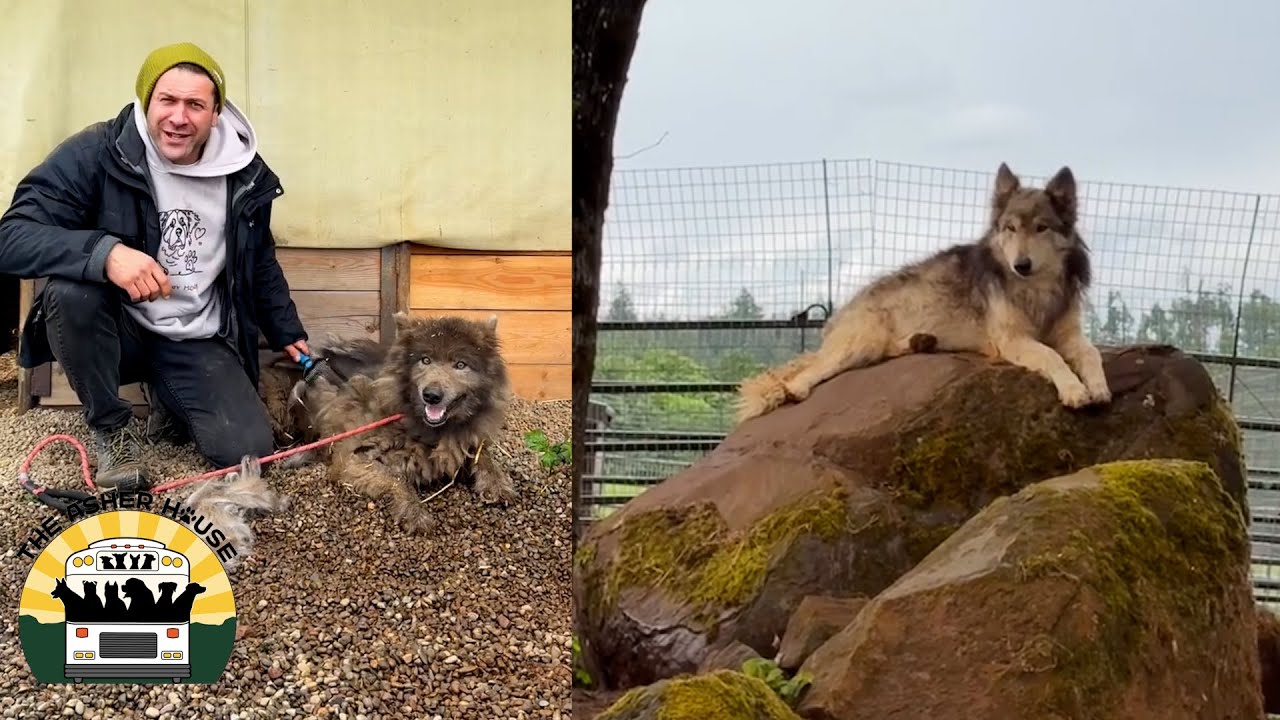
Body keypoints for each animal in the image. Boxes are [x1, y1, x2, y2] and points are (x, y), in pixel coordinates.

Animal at [258, 312, 516, 534]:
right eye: (425, 360)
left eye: (460, 365)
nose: (431, 395)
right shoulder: (351, 458)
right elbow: (396, 478)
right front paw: (414, 511)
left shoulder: (465, 441)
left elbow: (484, 457)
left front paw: (497, 483)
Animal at [736, 162, 1111, 424]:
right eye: (1011, 228)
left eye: (1041, 228)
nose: (1021, 264)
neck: (1036, 288)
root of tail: (836, 318)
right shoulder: (1012, 340)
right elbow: (1052, 357)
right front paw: (1075, 390)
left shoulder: (1070, 334)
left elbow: (1092, 353)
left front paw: (1099, 388)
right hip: (860, 344)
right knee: (806, 374)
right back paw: (796, 390)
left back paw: (921, 342)